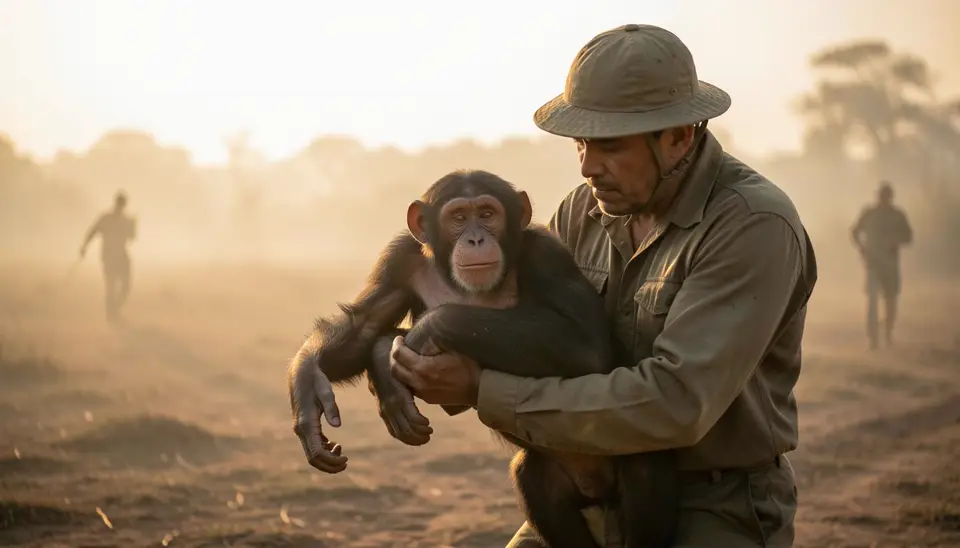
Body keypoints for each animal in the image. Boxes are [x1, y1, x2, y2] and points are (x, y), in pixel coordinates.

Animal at [291, 169, 678, 548]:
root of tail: (596, 489)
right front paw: (310, 391)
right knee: (533, 479)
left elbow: (585, 345)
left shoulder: (547, 255)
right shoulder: (398, 261)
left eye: (488, 214)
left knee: (644, 462)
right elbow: (363, 324)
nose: (476, 239)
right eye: (459, 217)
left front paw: (421, 334)